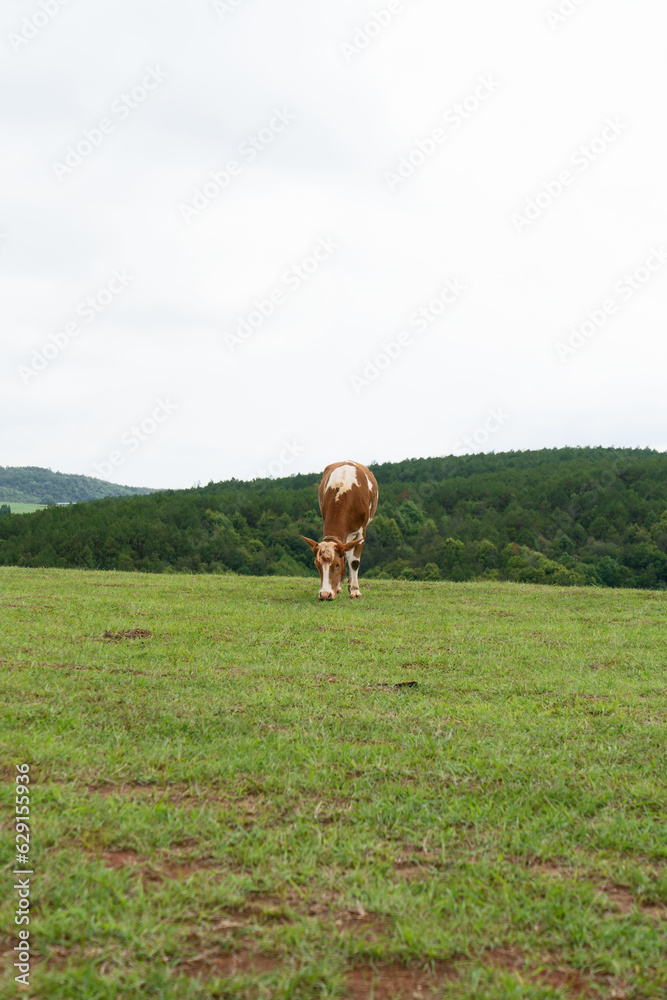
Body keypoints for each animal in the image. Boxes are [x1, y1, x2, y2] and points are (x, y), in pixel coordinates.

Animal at [302, 462, 378, 600]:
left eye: (337, 564)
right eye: (317, 564)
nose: (325, 594)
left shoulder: (361, 532)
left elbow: (354, 561)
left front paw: (355, 590)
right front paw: (338, 586)